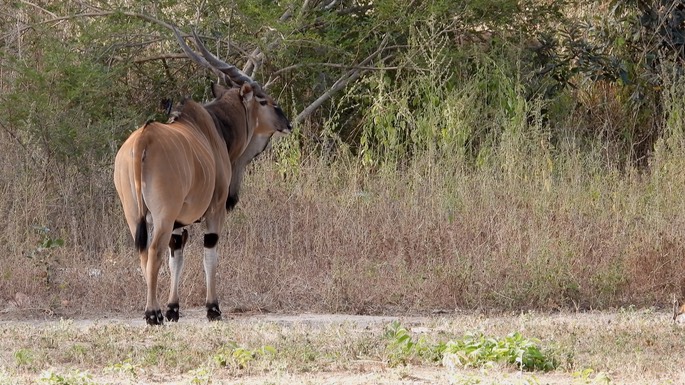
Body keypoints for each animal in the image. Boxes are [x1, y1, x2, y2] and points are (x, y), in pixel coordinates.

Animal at [113, 28, 290, 326]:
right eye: (264, 101)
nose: (286, 123)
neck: (216, 127)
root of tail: (143, 140)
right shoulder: (215, 209)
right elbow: (210, 254)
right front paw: (213, 309)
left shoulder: (178, 223)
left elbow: (177, 257)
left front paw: (173, 309)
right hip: (162, 215)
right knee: (154, 252)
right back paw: (152, 314)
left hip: (133, 214)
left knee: (143, 254)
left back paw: (155, 310)